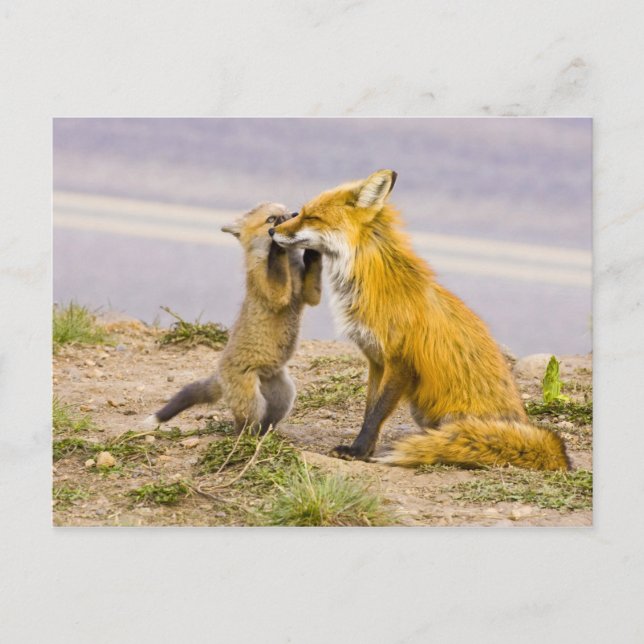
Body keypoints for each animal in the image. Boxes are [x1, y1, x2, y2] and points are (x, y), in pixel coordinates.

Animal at [146, 202, 322, 433]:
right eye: (271, 218)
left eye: (287, 210)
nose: (294, 215)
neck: (290, 267)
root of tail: (220, 377)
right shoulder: (275, 293)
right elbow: (275, 269)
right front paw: (276, 245)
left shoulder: (308, 295)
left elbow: (313, 285)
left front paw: (313, 248)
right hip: (253, 402)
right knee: (241, 426)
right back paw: (246, 438)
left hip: (284, 394)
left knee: (265, 422)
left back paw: (267, 437)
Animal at [271, 170, 570, 471]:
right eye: (301, 213)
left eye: (311, 217)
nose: (273, 231)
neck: (369, 280)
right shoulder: (375, 360)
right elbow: (370, 409)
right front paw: (366, 449)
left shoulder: (400, 360)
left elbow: (377, 413)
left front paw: (357, 451)